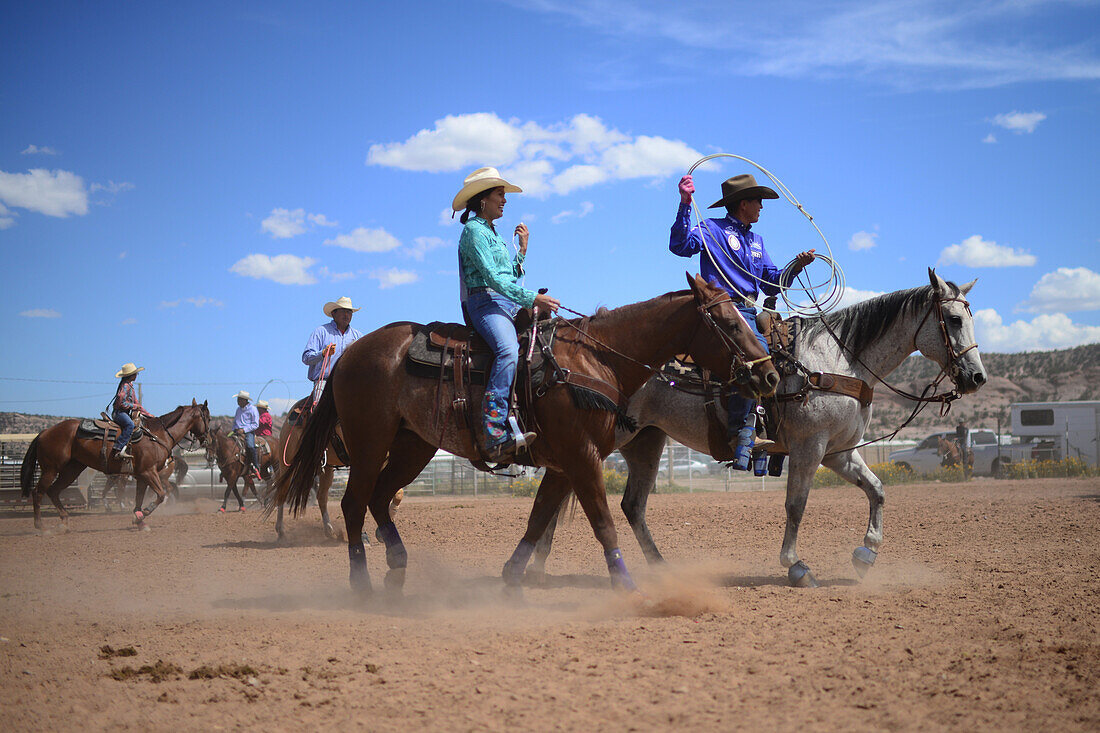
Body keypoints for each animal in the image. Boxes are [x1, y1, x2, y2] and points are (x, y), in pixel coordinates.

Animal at [20, 396, 210, 528]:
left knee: (53, 491)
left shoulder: (142, 476)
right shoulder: (148, 472)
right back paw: (41, 526)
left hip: (71, 470)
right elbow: (159, 495)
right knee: (38, 492)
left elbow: (139, 499)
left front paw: (139, 520)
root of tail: (45, 432)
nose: (208, 439)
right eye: (207, 418)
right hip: (51, 469)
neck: (157, 435)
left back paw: (64, 521)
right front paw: (144, 513)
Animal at [277, 274, 783, 594]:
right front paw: (625, 583)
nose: (771, 375)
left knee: (381, 499)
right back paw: (361, 583)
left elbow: (538, 519)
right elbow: (602, 521)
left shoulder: (564, 464)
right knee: (353, 503)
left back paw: (397, 569)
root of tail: (349, 353)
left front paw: (512, 575)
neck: (594, 360)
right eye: (732, 323)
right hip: (369, 444)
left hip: (413, 445)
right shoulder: (582, 458)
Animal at [532, 270, 990, 585]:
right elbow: (796, 505)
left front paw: (866, 554)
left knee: (629, 505)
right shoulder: (809, 447)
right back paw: (538, 564)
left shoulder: (839, 453)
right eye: (952, 319)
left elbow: (877, 491)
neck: (838, 362)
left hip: (646, 440)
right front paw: (796, 566)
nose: (976, 377)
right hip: (604, 439)